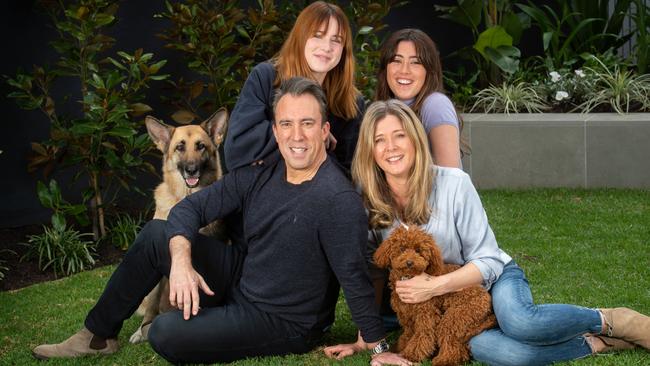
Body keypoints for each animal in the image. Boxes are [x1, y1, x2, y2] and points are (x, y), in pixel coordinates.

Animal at [372, 224, 494, 364]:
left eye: (418, 250)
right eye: (401, 248)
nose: (409, 262)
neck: (408, 278)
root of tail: (486, 297)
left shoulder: (426, 314)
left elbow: (423, 334)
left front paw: (411, 354)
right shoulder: (406, 315)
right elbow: (408, 334)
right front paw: (401, 347)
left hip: (457, 315)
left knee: (451, 344)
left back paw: (442, 360)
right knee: (460, 348)